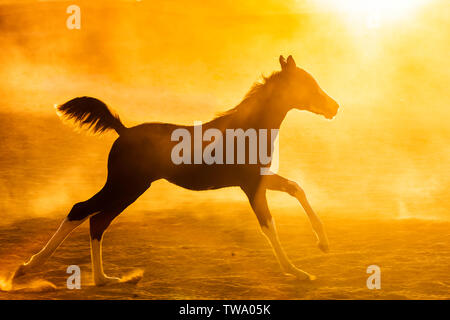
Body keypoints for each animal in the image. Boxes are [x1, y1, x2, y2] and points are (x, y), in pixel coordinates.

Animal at [13, 55, 338, 284]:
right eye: (307, 85)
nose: (334, 107)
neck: (249, 127)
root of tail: (123, 130)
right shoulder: (249, 184)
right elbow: (268, 224)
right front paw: (297, 271)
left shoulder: (257, 179)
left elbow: (296, 188)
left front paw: (322, 243)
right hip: (125, 186)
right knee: (81, 210)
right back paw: (27, 267)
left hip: (129, 190)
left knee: (97, 221)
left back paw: (104, 279)